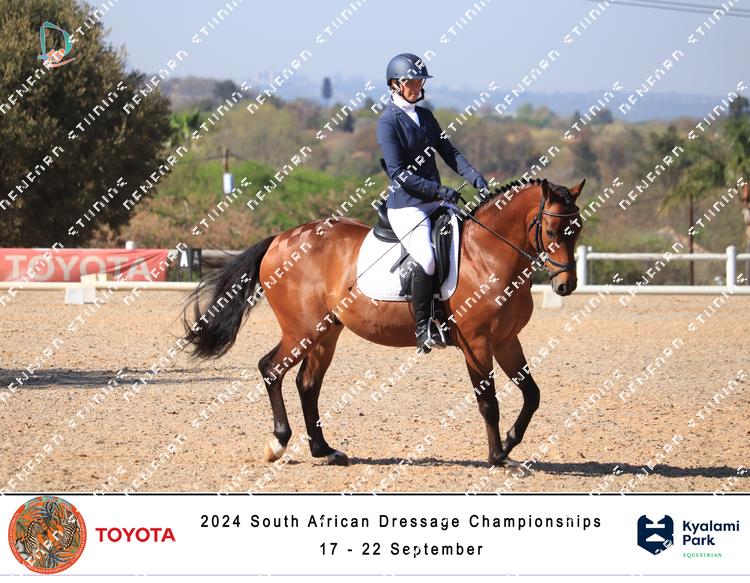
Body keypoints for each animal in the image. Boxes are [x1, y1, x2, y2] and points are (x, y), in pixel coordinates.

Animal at [182, 176, 585, 467]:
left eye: (578, 228)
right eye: (551, 232)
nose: (565, 286)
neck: (488, 254)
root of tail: (280, 239)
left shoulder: (505, 341)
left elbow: (532, 394)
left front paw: (511, 443)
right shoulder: (477, 343)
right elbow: (488, 401)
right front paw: (498, 456)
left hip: (326, 332)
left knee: (307, 384)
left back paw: (325, 450)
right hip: (302, 330)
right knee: (271, 369)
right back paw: (278, 443)